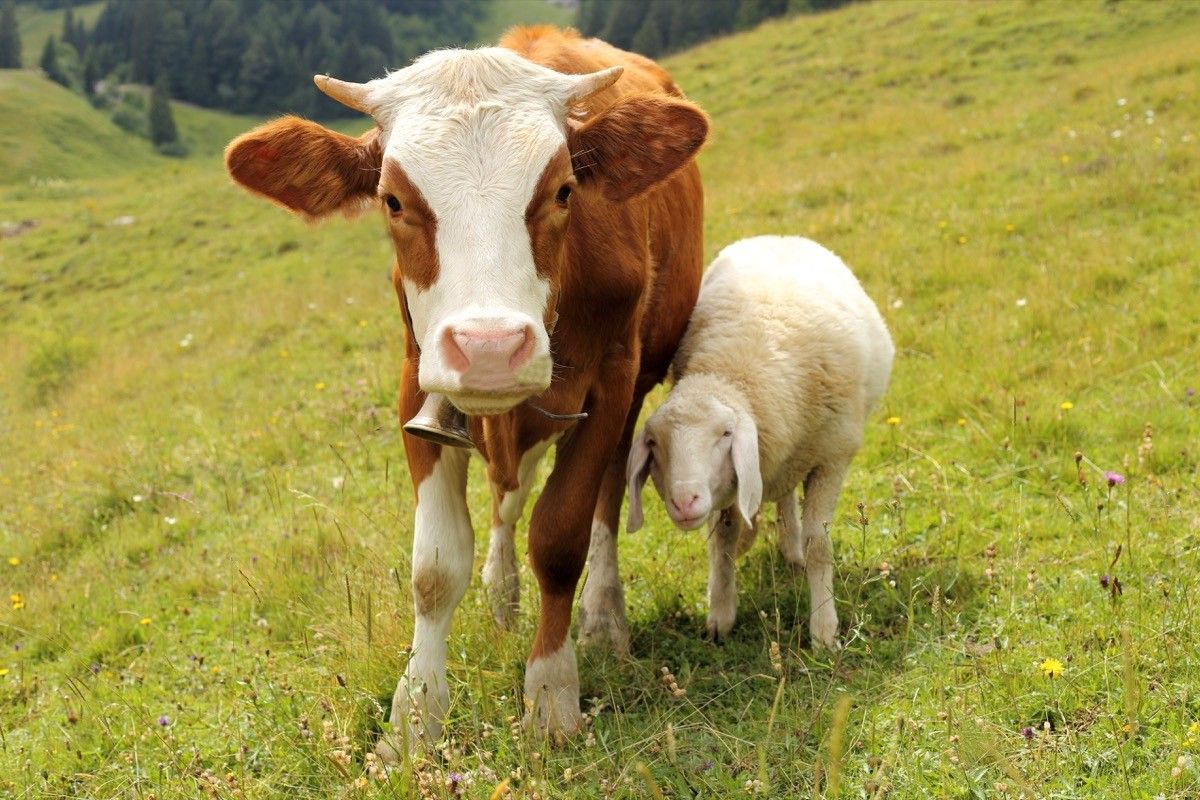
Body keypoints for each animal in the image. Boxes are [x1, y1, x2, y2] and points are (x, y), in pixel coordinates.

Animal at [225, 28, 705, 758]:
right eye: (394, 201)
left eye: (564, 190)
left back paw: (604, 618)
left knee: (602, 497)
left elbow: (560, 538)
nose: (489, 347)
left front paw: (551, 697)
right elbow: (435, 565)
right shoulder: (415, 383)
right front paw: (415, 720)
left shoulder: (613, 380)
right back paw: (503, 595)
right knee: (510, 495)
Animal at [628, 235, 892, 647]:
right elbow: (723, 540)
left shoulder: (832, 457)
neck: (733, 371)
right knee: (783, 495)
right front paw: (721, 614)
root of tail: (779, 237)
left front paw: (824, 630)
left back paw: (794, 552)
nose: (684, 501)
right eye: (654, 443)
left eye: (725, 433)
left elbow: (819, 545)